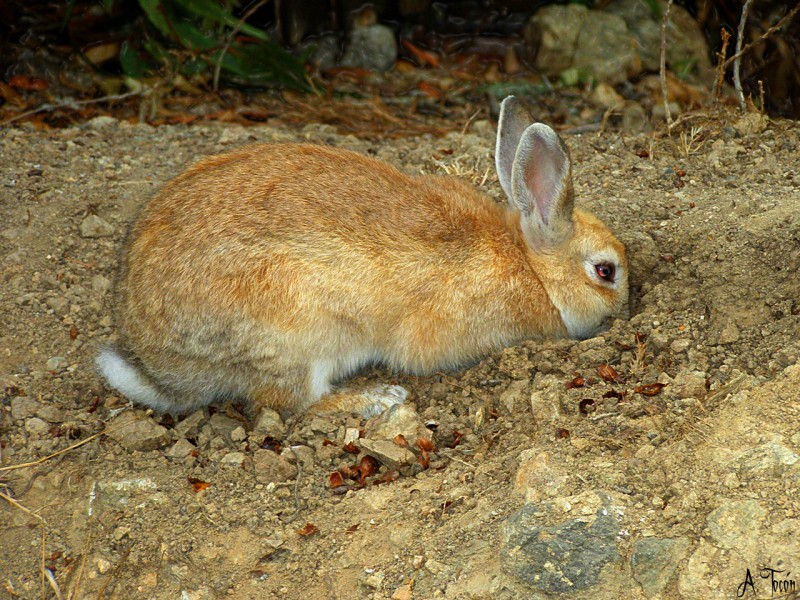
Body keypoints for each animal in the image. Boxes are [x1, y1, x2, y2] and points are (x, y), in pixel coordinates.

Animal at [97, 97, 628, 418]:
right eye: (605, 271)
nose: (626, 310)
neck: (530, 265)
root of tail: (160, 366)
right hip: (292, 334)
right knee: (291, 402)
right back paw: (377, 399)